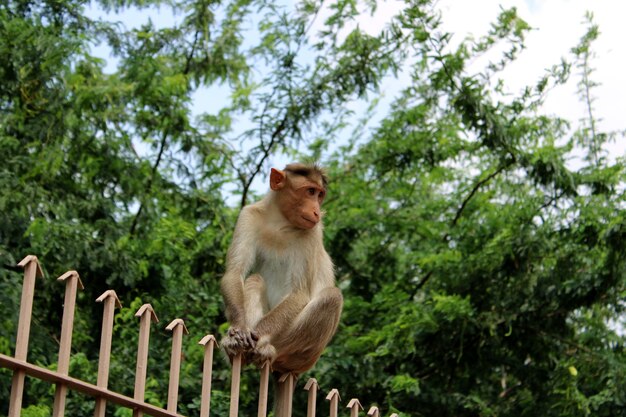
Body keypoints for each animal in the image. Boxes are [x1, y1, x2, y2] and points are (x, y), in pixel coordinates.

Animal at [219, 161, 344, 376]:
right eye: (310, 191)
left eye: (319, 195)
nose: (316, 211)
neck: (280, 222)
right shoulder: (248, 216)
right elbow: (235, 273)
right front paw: (238, 331)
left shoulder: (312, 232)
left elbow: (299, 294)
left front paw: (258, 336)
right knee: (255, 279)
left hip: (303, 356)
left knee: (331, 297)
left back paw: (267, 349)